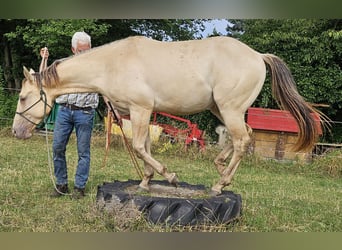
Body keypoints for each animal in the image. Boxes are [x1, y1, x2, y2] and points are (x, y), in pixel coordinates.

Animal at [11, 35, 326, 195]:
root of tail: (258, 56)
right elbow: (146, 147)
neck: (112, 63)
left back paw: (219, 185)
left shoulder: (140, 109)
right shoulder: (141, 113)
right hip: (223, 109)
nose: (16, 132)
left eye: (23, 97)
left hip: (230, 109)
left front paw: (170, 177)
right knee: (241, 138)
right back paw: (221, 170)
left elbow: (139, 146)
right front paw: (146, 181)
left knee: (241, 141)